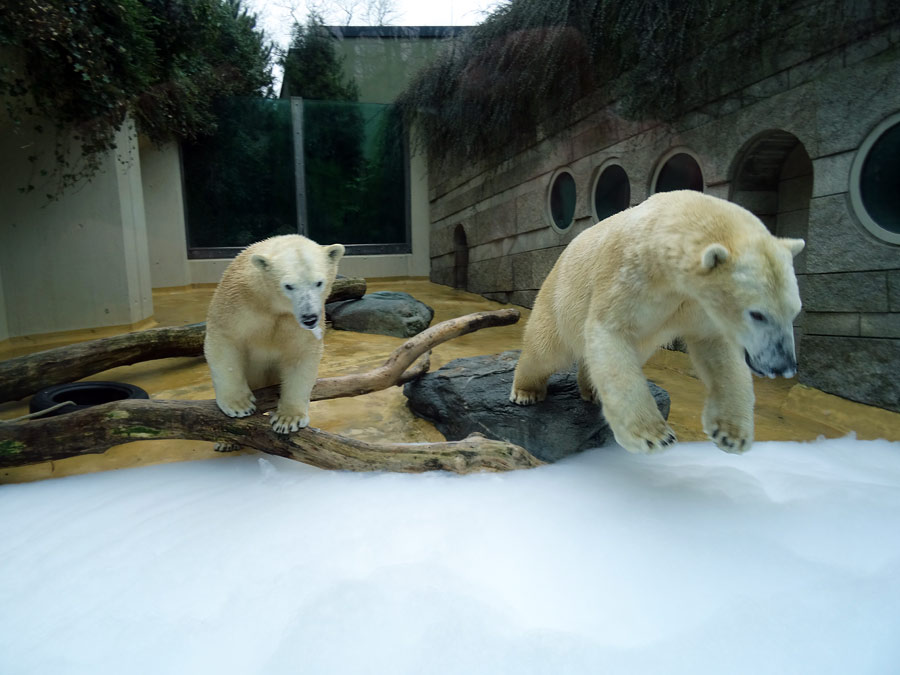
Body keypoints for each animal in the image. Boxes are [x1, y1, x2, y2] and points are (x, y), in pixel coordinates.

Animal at [204, 235, 344, 436]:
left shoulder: (294, 322)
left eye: (319, 282)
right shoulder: (236, 302)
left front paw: (288, 419)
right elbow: (224, 341)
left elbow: (301, 355)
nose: (309, 318)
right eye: (289, 286)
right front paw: (239, 405)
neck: (270, 303)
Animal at [510, 187, 804, 456]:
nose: (783, 366)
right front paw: (653, 436)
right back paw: (526, 392)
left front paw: (731, 434)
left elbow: (716, 348)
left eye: (794, 311)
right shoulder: (631, 274)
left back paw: (591, 390)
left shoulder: (697, 304)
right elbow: (611, 333)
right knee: (546, 351)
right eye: (757, 314)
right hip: (559, 299)